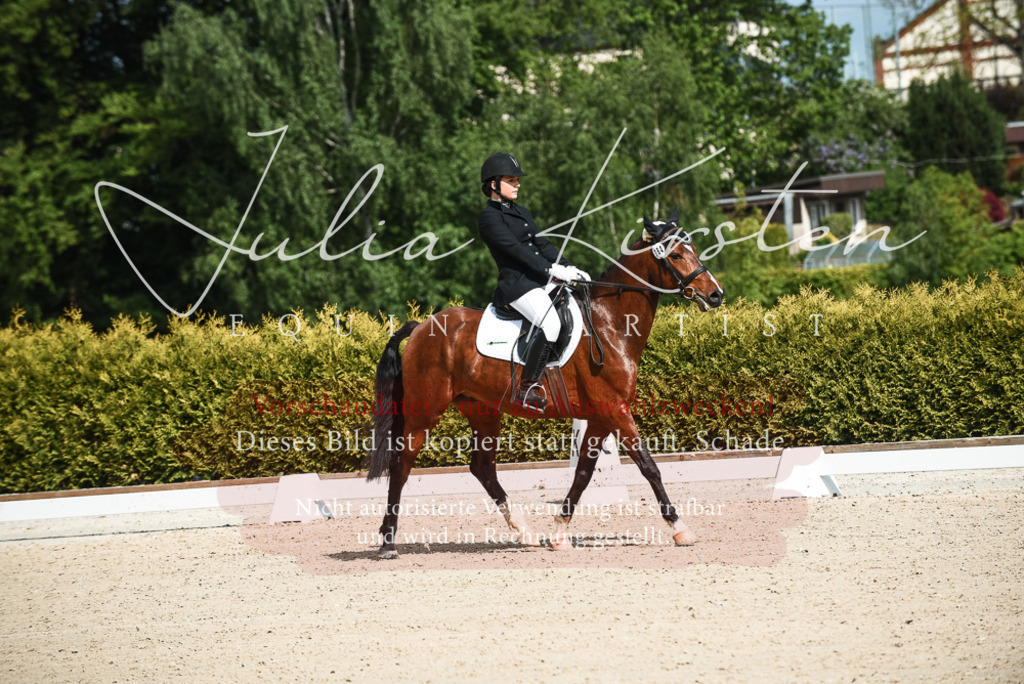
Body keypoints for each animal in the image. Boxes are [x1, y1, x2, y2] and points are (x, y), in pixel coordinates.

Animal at [366, 209, 724, 558]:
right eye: (675, 255)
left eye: (692, 250)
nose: (715, 294)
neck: (610, 324)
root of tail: (420, 327)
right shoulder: (615, 409)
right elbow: (648, 466)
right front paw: (680, 528)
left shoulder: (600, 417)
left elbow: (584, 473)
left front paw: (560, 532)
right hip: (426, 410)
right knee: (401, 463)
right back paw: (388, 543)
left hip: (483, 411)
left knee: (482, 468)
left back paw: (525, 532)